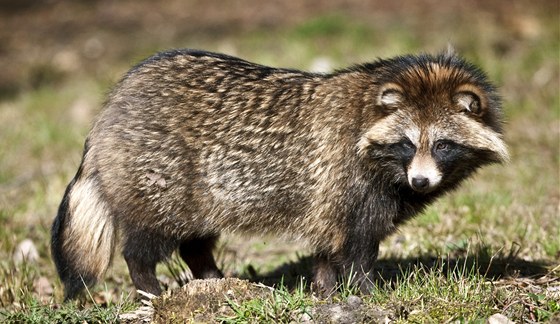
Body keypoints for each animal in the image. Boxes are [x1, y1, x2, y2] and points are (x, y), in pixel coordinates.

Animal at [51, 48, 508, 298]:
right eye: (408, 144)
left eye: (443, 145)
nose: (420, 182)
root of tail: (115, 102)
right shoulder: (349, 186)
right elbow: (357, 252)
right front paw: (367, 293)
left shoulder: (329, 200)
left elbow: (327, 250)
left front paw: (325, 292)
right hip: (157, 178)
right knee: (144, 243)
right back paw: (149, 287)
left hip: (206, 192)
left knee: (195, 241)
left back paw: (212, 277)